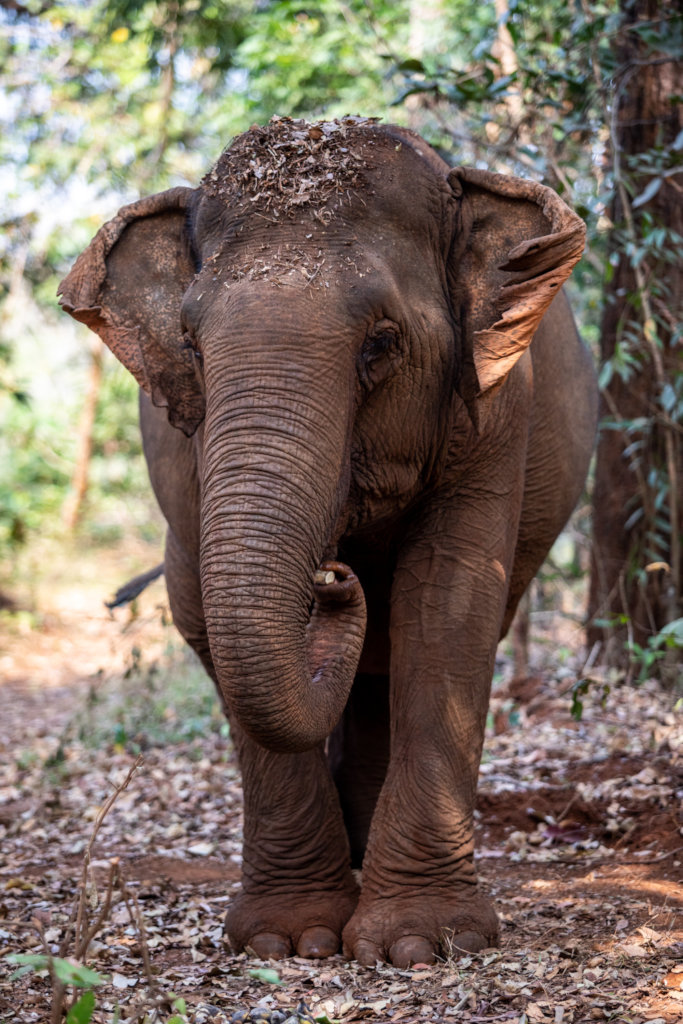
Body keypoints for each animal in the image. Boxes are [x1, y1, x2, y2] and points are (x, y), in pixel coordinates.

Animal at [59, 116, 597, 968]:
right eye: (190, 343)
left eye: (381, 342)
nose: (335, 577)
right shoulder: (182, 442)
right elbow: (205, 610)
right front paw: (292, 938)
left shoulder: (495, 412)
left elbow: (446, 602)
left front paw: (419, 942)